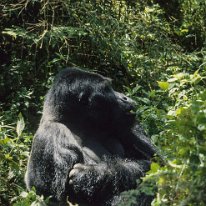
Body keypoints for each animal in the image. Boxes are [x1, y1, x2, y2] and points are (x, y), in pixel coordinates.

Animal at [25, 68, 157, 206]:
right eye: (107, 88)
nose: (125, 97)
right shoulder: (50, 134)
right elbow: (55, 200)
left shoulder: (128, 124)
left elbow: (155, 162)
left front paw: (93, 174)